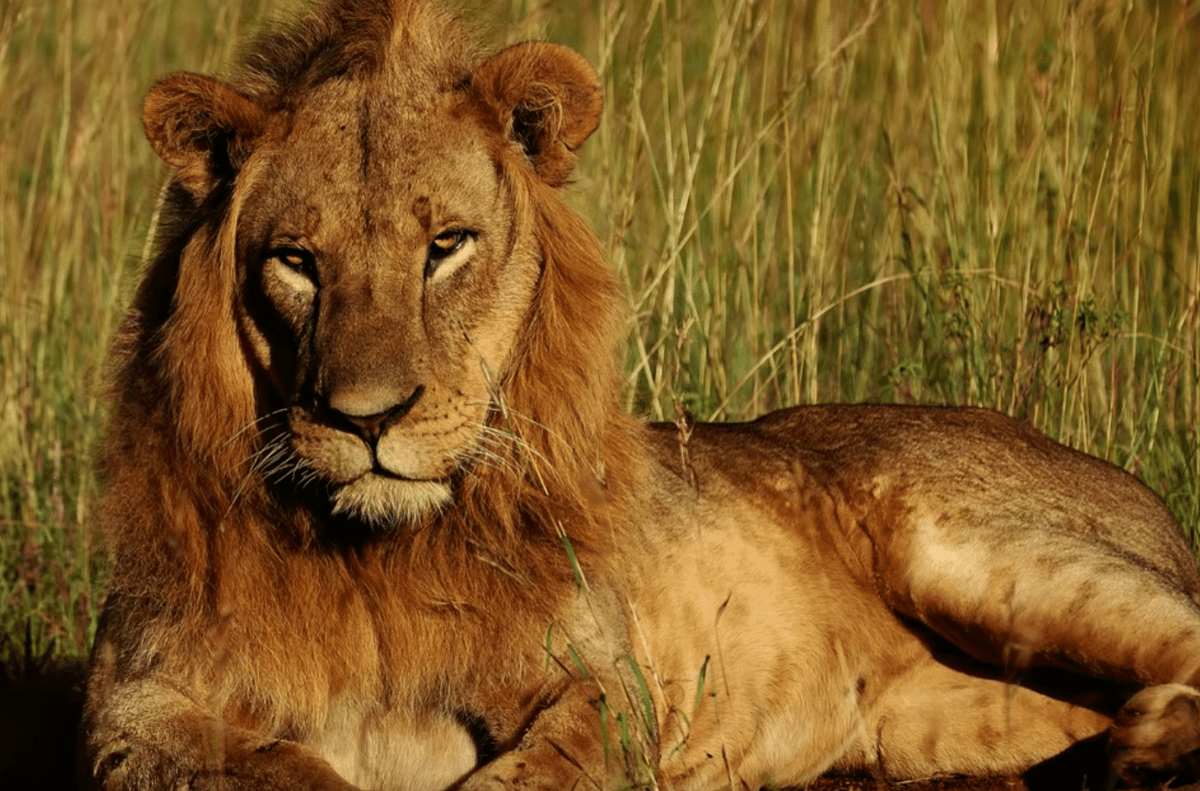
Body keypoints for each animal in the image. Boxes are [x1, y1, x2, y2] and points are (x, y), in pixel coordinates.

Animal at [81, 1, 1200, 789]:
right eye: (297, 262)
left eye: (446, 246)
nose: (368, 418)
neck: (373, 564)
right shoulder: (131, 709)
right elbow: (264, 761)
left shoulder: (604, 688)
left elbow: (535, 768)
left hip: (978, 548)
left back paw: (1144, 749)